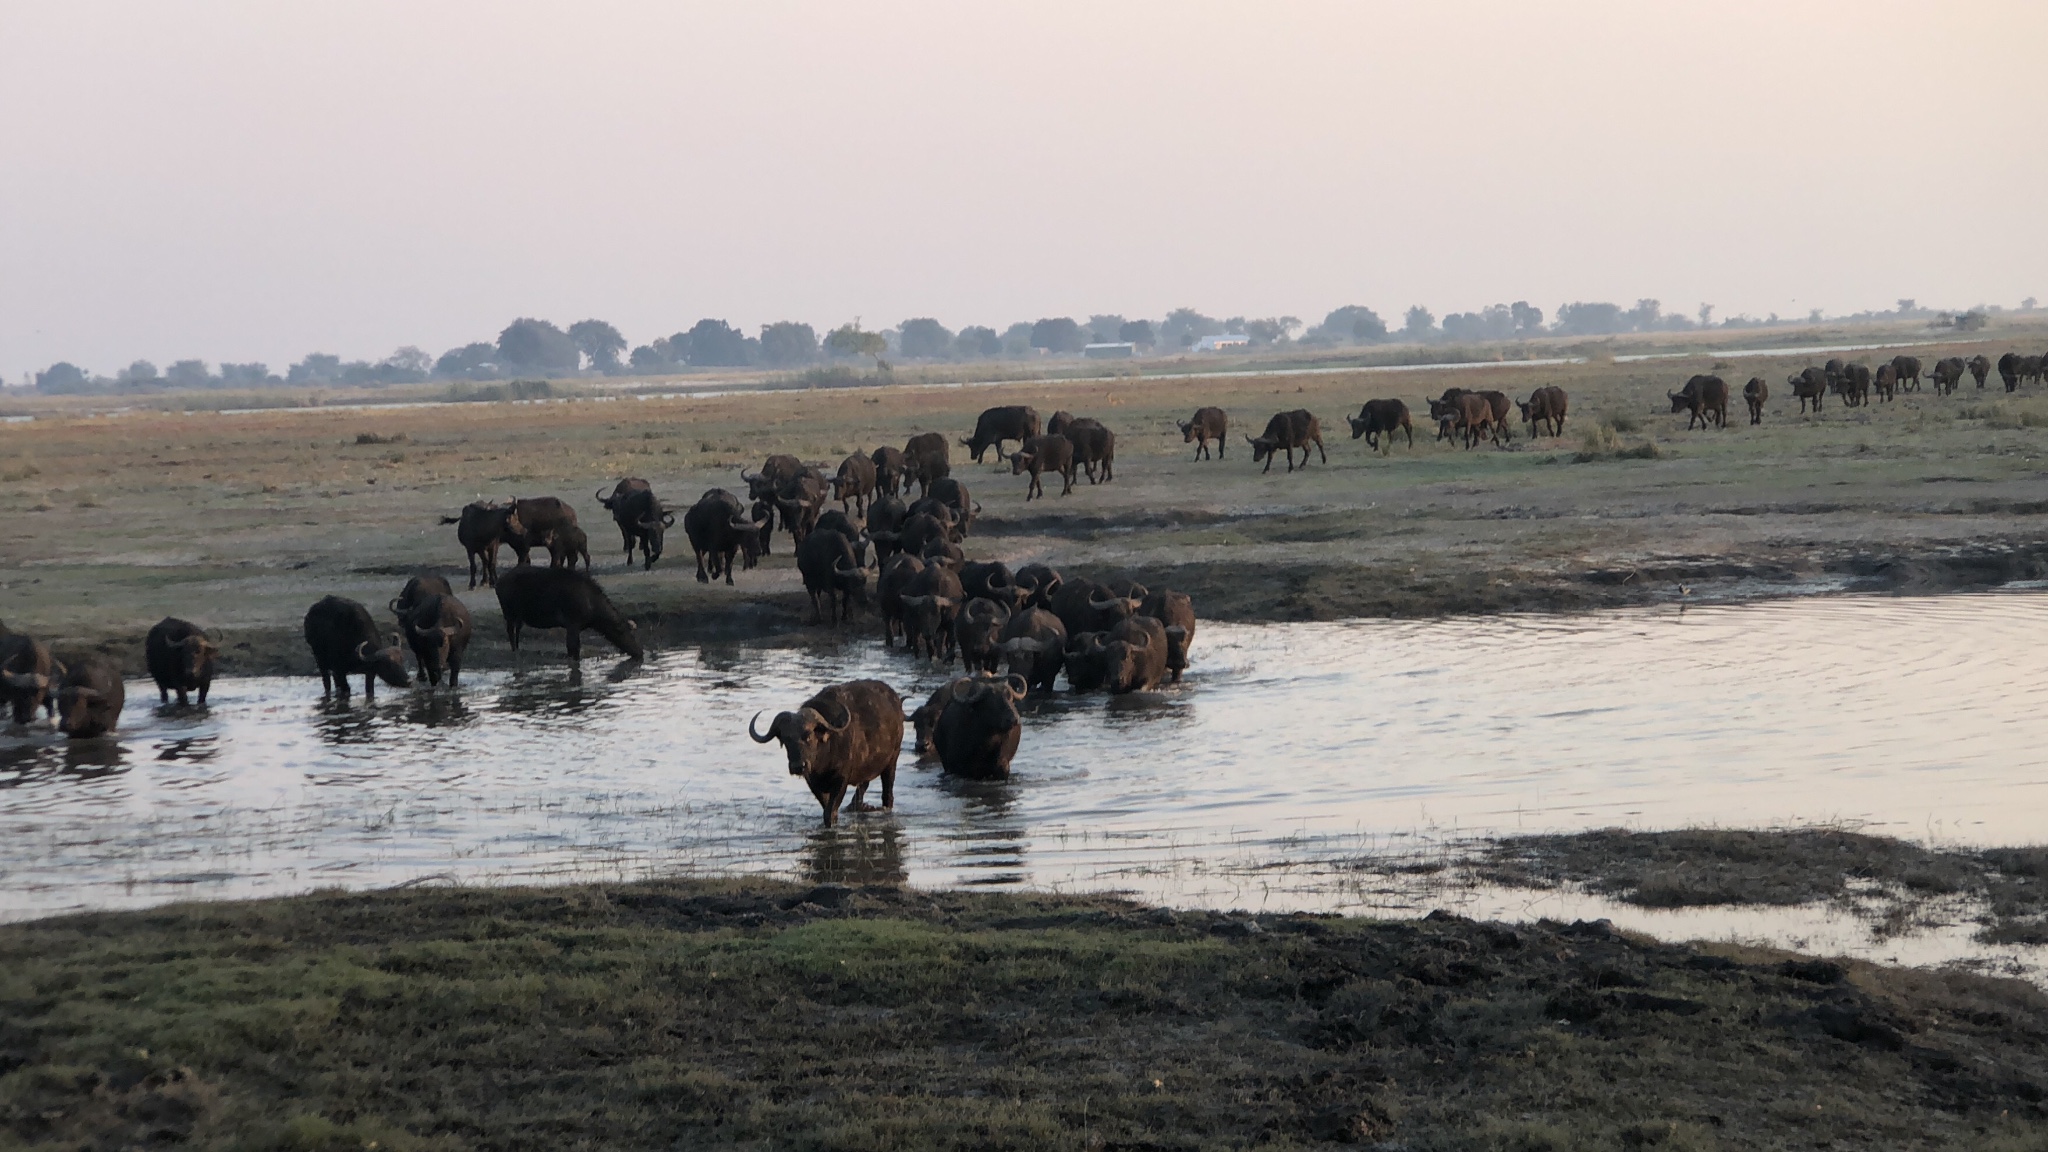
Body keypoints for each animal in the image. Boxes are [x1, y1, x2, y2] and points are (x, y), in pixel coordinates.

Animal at [493, 561, 643, 660]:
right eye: (626, 632)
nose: (639, 652)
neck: (594, 615)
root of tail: (497, 584)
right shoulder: (572, 623)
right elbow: (573, 649)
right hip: (509, 612)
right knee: (510, 631)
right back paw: (514, 649)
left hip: (519, 616)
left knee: (517, 630)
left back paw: (518, 648)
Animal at [749, 672, 901, 824]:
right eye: (785, 739)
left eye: (808, 735)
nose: (798, 767)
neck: (824, 757)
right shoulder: (812, 781)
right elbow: (826, 807)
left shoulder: (841, 780)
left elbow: (830, 812)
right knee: (861, 791)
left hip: (891, 762)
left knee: (887, 795)